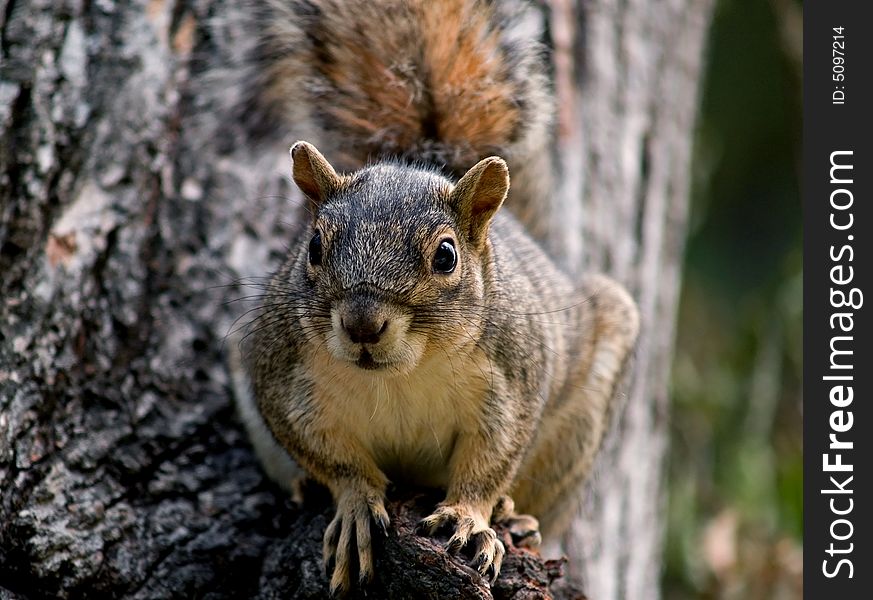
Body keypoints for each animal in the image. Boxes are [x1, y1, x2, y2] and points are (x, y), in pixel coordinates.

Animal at [230, 0, 640, 596]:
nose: (362, 325)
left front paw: (471, 517)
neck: (402, 374)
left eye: (446, 256)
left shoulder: (513, 377)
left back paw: (514, 514)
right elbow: (330, 456)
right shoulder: (280, 374)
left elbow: (491, 459)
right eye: (314, 246)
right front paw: (354, 503)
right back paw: (303, 487)